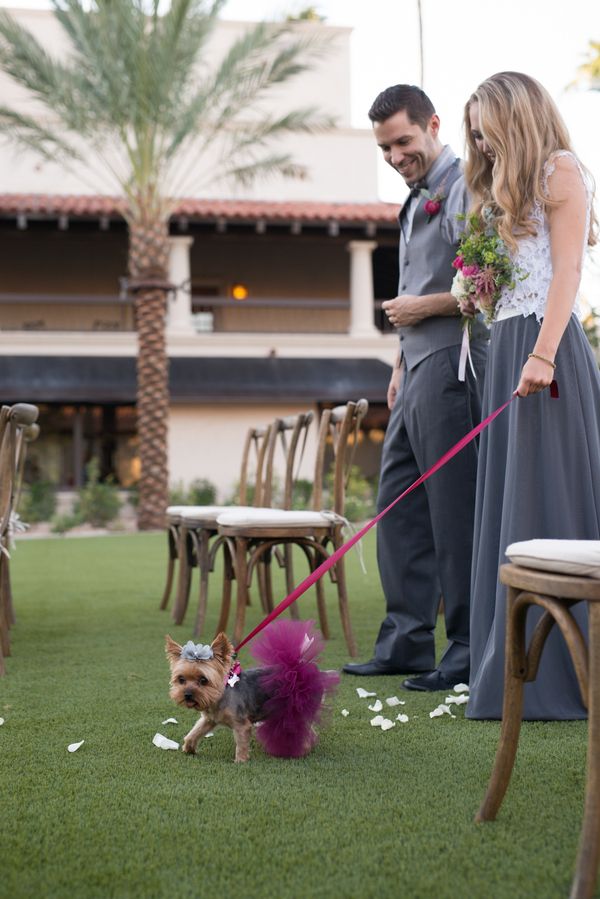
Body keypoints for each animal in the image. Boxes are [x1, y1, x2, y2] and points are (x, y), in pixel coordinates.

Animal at [165, 624, 338, 764]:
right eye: (181, 679)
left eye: (203, 680)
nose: (187, 694)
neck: (220, 695)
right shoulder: (209, 720)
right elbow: (194, 732)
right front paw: (189, 748)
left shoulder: (242, 724)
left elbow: (241, 743)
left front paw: (240, 761)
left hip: (298, 711)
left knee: (307, 730)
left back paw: (300, 750)